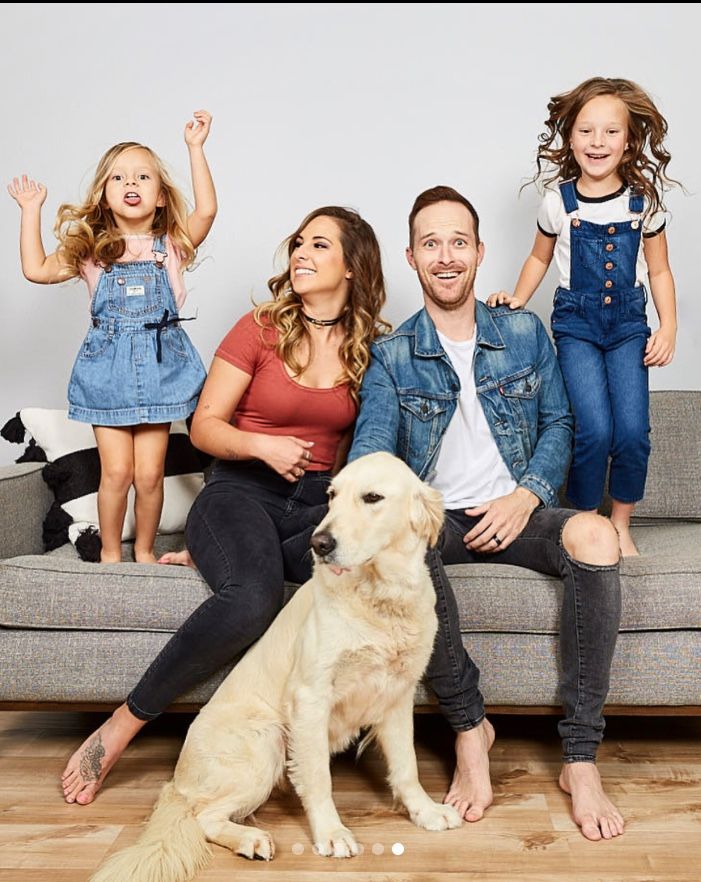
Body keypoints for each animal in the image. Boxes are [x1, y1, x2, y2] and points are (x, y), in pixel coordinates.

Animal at [90, 454, 462, 880]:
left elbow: (406, 766)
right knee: (203, 816)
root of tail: (177, 782)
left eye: (372, 498)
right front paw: (331, 833)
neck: (380, 596)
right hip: (265, 741)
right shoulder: (311, 697)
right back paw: (250, 839)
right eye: (332, 496)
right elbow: (318, 777)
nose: (319, 543)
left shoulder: (398, 694)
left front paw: (426, 811)